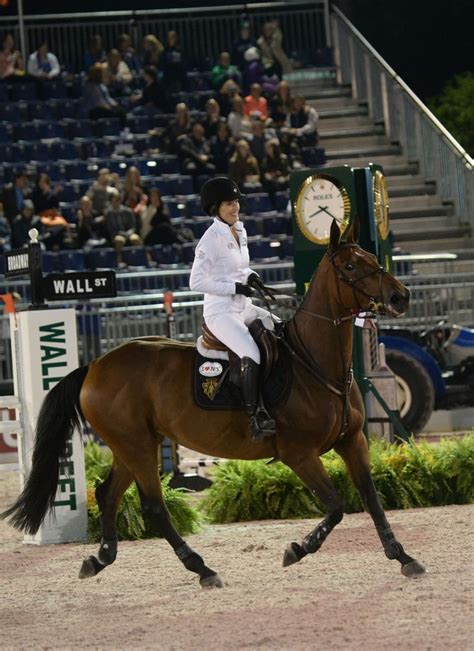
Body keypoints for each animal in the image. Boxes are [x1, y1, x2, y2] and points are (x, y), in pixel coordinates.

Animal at [1, 222, 426, 588]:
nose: (400, 297)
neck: (316, 364)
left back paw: (99, 558)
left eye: (371, 257)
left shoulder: (352, 441)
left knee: (108, 494)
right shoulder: (299, 453)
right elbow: (337, 506)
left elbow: (372, 499)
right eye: (351, 266)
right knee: (154, 506)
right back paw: (202, 569)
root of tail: (95, 366)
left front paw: (404, 557)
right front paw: (296, 549)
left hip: (132, 445)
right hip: (138, 446)